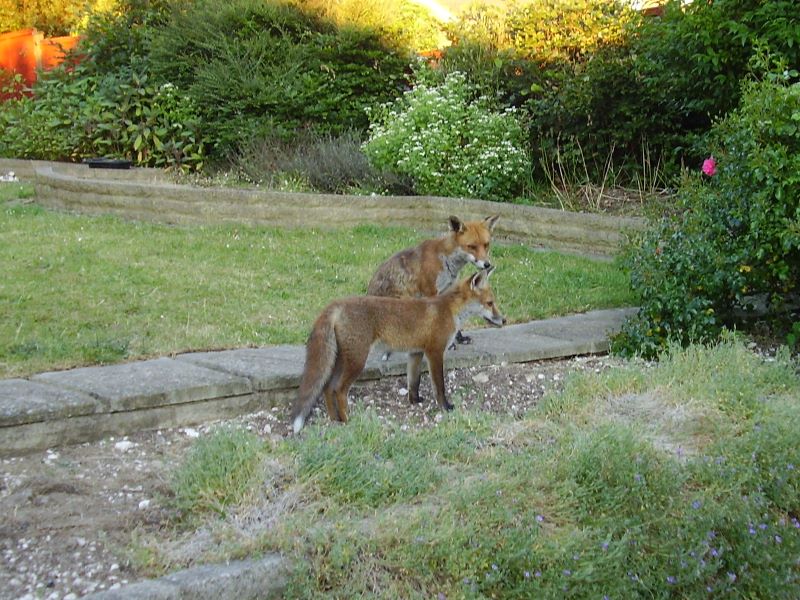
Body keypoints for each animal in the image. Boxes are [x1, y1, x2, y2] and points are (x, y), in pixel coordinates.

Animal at [290, 268, 504, 432]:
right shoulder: (434, 352)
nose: (504, 320)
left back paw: (335, 419)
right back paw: (347, 420)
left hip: (343, 359)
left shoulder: (416, 353)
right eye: (490, 303)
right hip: (357, 360)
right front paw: (445, 407)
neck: (450, 311)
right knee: (339, 390)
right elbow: (439, 386)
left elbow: (413, 382)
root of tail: (336, 303)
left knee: (327, 387)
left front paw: (415, 401)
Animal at [370, 214, 500, 346]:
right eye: (472, 246)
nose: (487, 264)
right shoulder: (431, 291)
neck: (447, 261)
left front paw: (459, 338)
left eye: (486, 245)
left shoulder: (449, 288)